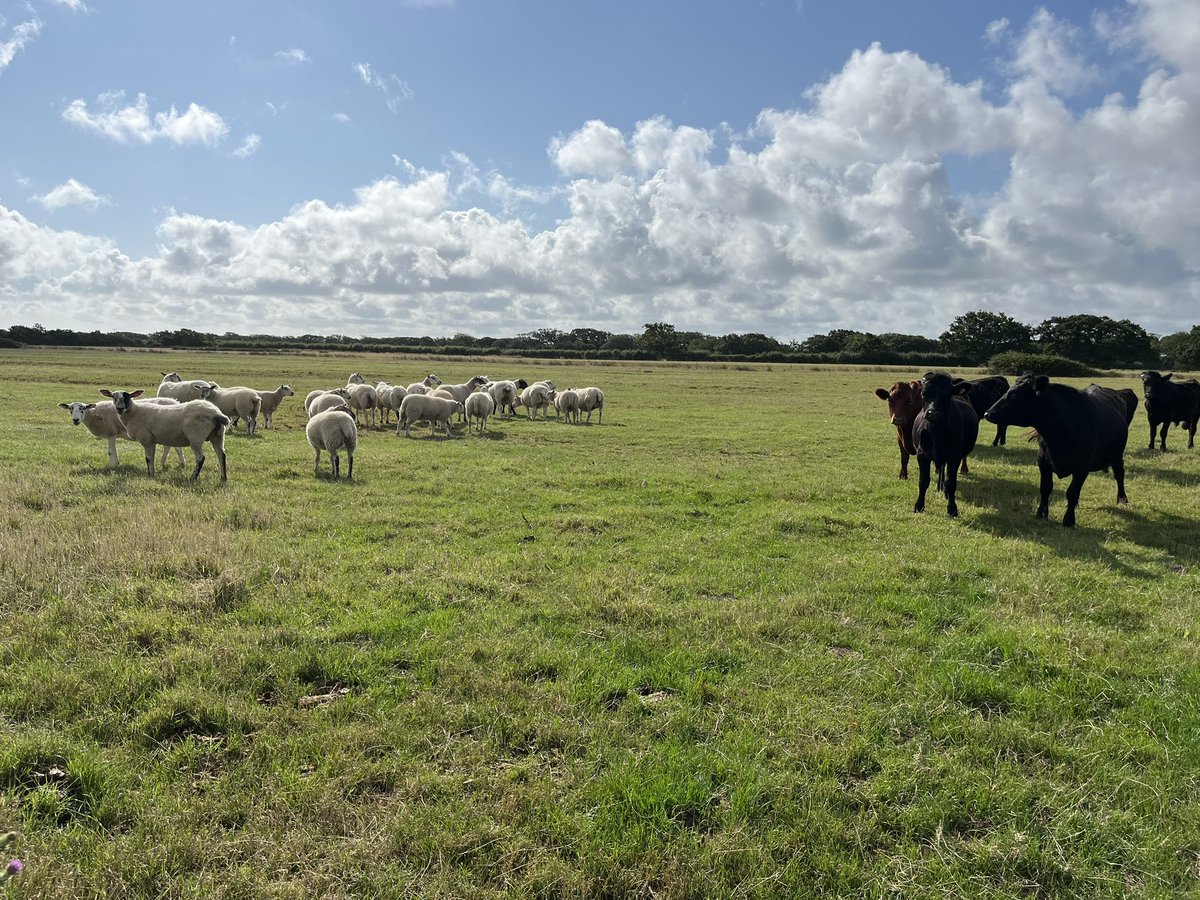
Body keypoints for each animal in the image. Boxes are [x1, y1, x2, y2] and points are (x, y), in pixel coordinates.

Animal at [58, 398, 186, 470]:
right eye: (70, 409)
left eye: (82, 408)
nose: (75, 420)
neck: (95, 415)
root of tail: (176, 401)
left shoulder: (111, 432)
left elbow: (111, 451)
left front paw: (113, 466)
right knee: (169, 447)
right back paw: (166, 463)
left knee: (175, 448)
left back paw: (179, 463)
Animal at [99, 389, 229, 482]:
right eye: (113, 397)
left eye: (127, 397)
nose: (119, 408)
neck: (134, 412)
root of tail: (216, 413)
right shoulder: (152, 441)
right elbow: (152, 458)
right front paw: (152, 474)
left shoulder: (146, 440)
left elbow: (148, 458)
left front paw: (149, 475)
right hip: (218, 435)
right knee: (221, 455)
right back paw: (223, 478)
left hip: (196, 438)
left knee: (201, 458)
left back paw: (193, 478)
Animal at [912, 372, 979, 518]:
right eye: (923, 394)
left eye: (947, 395)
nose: (933, 413)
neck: (937, 432)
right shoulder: (922, 455)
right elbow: (923, 481)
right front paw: (919, 506)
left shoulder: (954, 457)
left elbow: (951, 483)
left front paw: (952, 509)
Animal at [983, 374, 1129, 528]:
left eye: (1016, 394)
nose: (988, 413)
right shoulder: (1043, 461)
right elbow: (1045, 488)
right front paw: (1041, 513)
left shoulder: (1082, 468)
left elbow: (1072, 492)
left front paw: (1069, 520)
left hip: (1117, 456)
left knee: (1119, 475)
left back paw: (1123, 499)